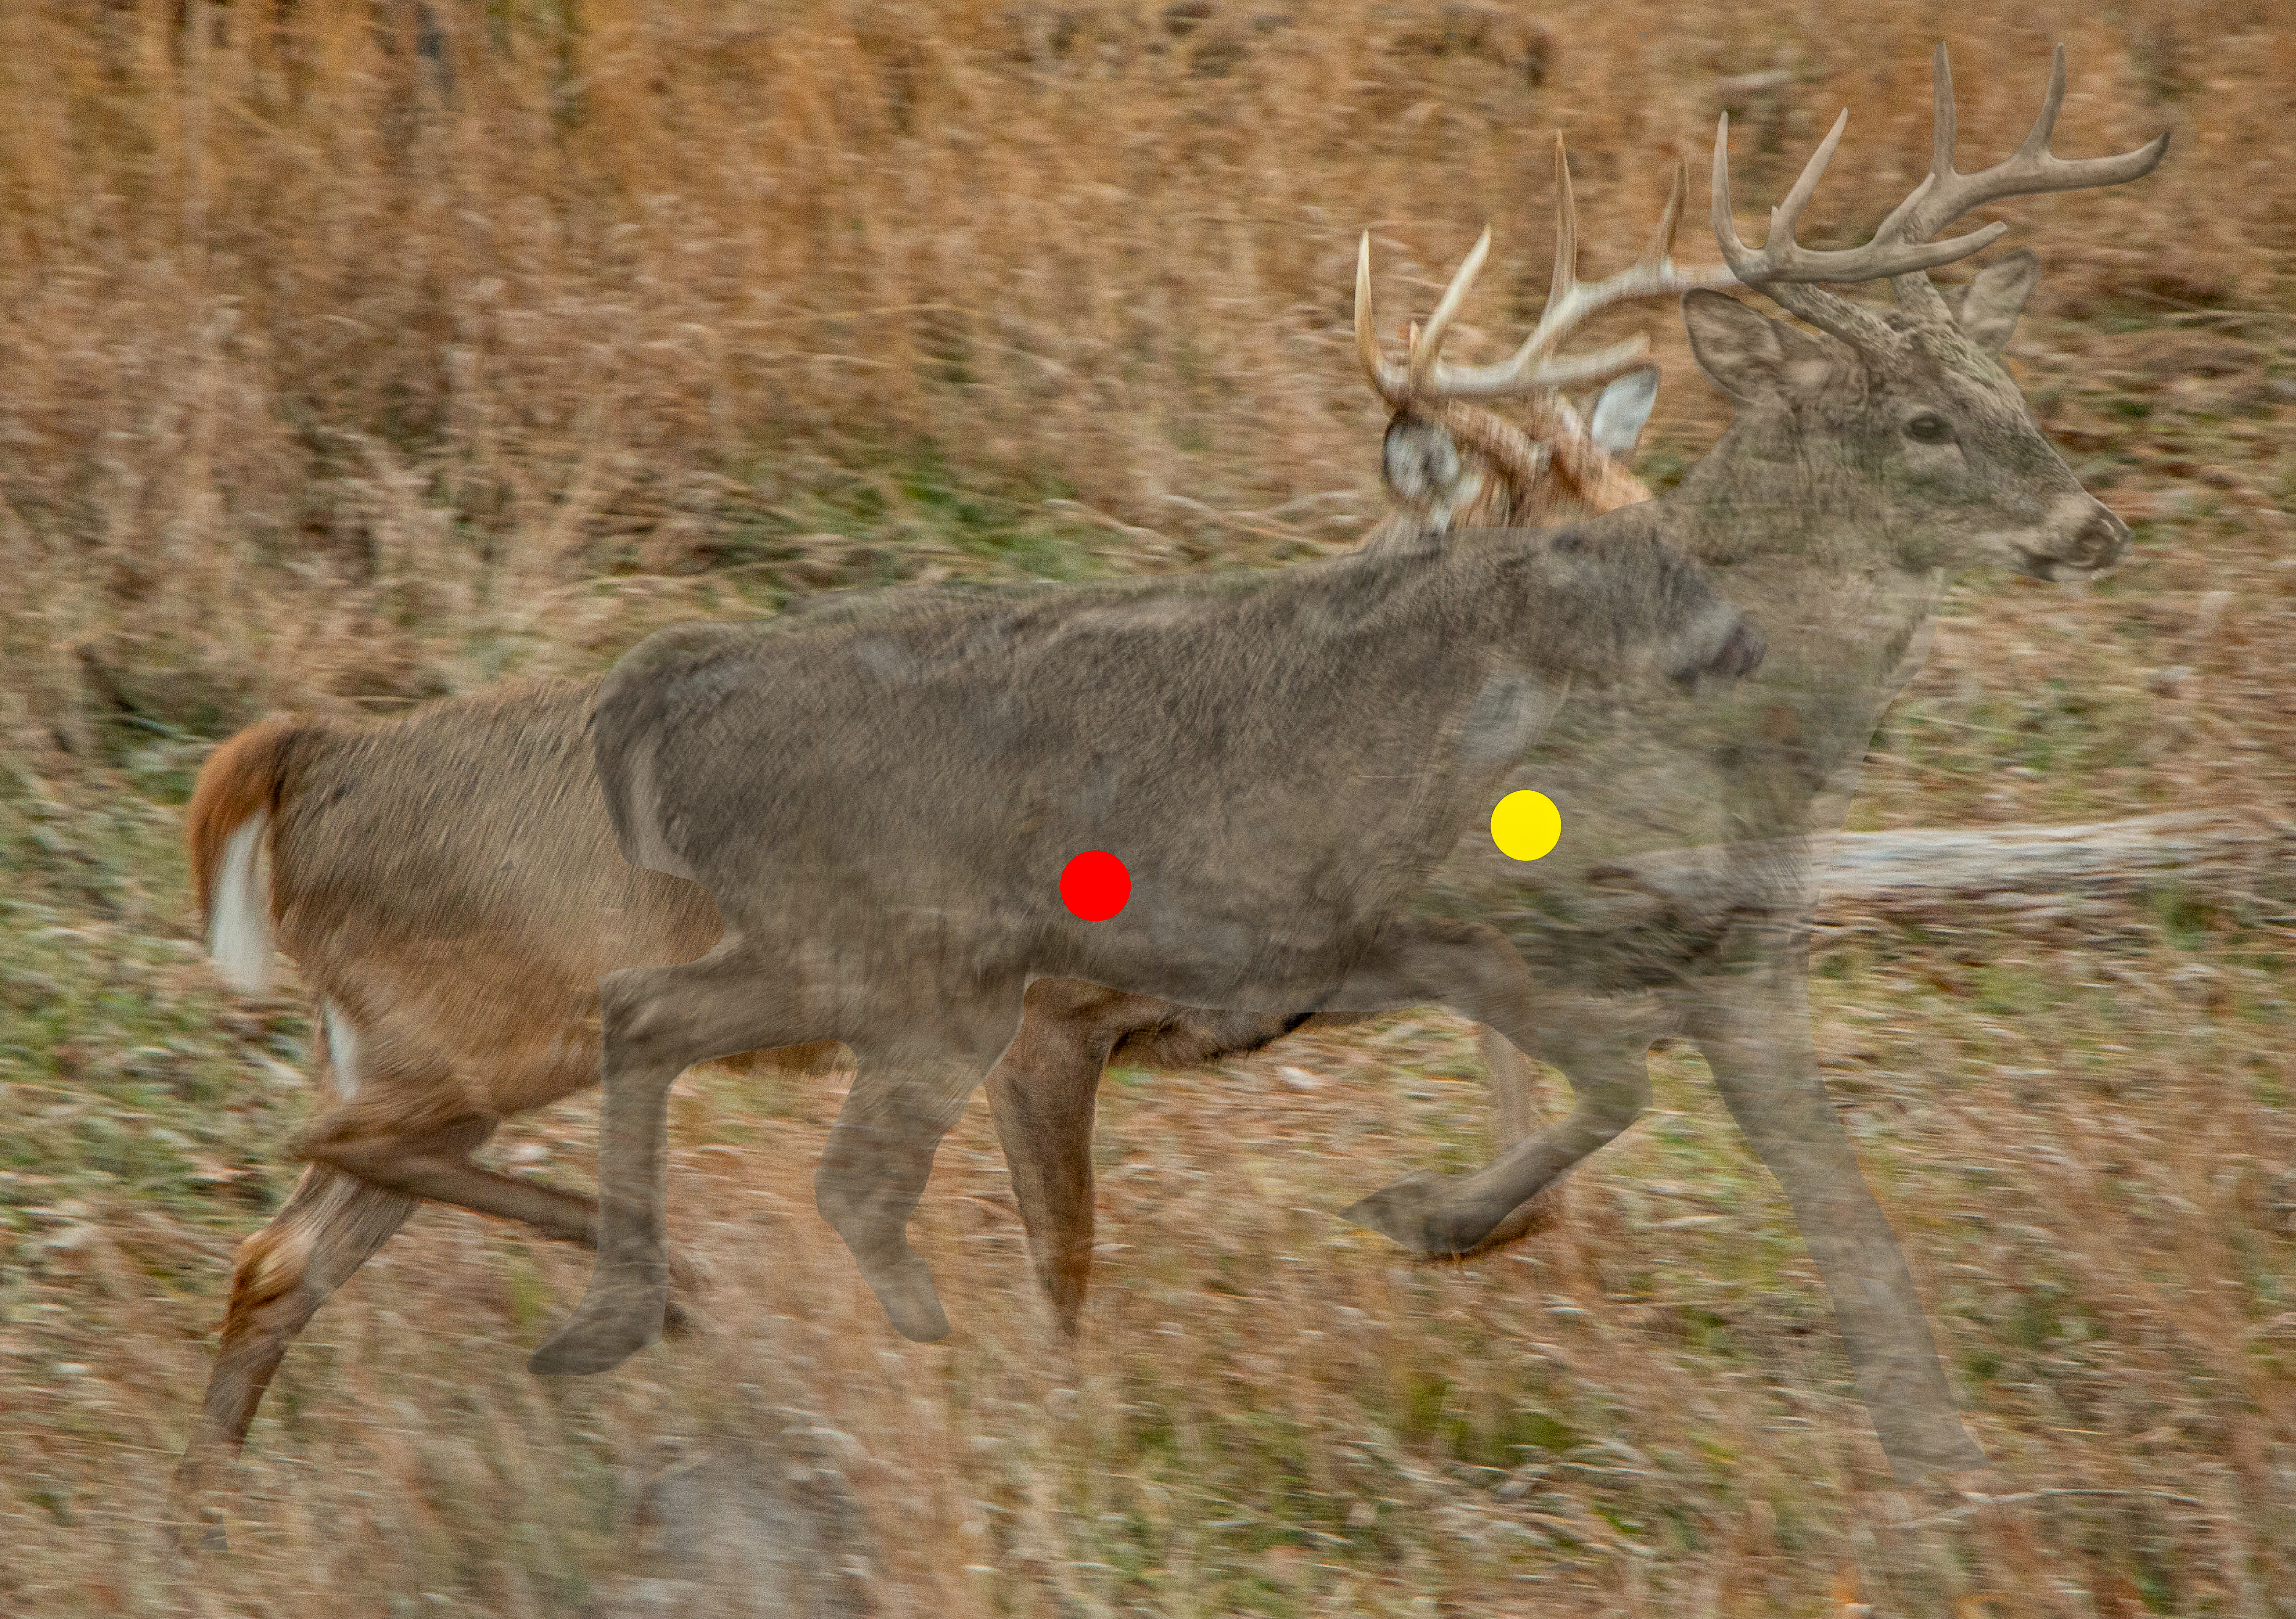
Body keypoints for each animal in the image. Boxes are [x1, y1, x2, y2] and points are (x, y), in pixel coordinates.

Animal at [170, 164, 1699, 1543]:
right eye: (1556, 554)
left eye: (1643, 504)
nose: (1715, 637)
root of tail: (310, 763)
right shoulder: (1045, 1014)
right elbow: (1067, 1257)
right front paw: (1072, 1451)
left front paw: (1456, 1224)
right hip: (489, 1029)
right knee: (327, 1158)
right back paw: (680, 1287)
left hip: (419, 1044)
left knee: (278, 1252)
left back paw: (212, 1519)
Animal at [969, 41, 2167, 1479]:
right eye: (1922, 423)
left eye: (2010, 392)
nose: (2092, 527)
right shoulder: (1462, 910)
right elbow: (1611, 1086)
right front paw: (1422, 1213)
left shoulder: (1752, 968)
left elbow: (1846, 1216)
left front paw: (1946, 1466)